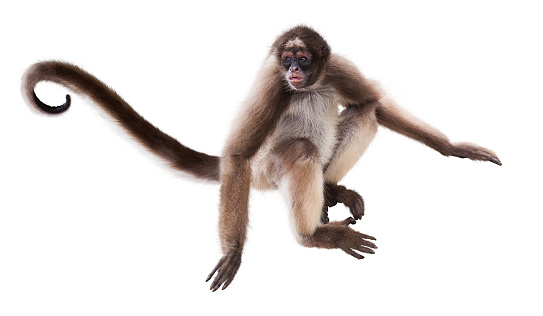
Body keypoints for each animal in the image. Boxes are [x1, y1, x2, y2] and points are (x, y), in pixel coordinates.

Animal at [23, 24, 504, 292]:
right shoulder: (272, 83)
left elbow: (375, 104)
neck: (308, 83)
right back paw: (313, 236)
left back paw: (331, 187)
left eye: (304, 59)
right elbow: (236, 154)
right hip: (264, 171)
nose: (294, 70)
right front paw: (235, 251)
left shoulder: (336, 68)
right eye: (287, 58)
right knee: (300, 149)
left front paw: (454, 148)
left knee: (362, 112)